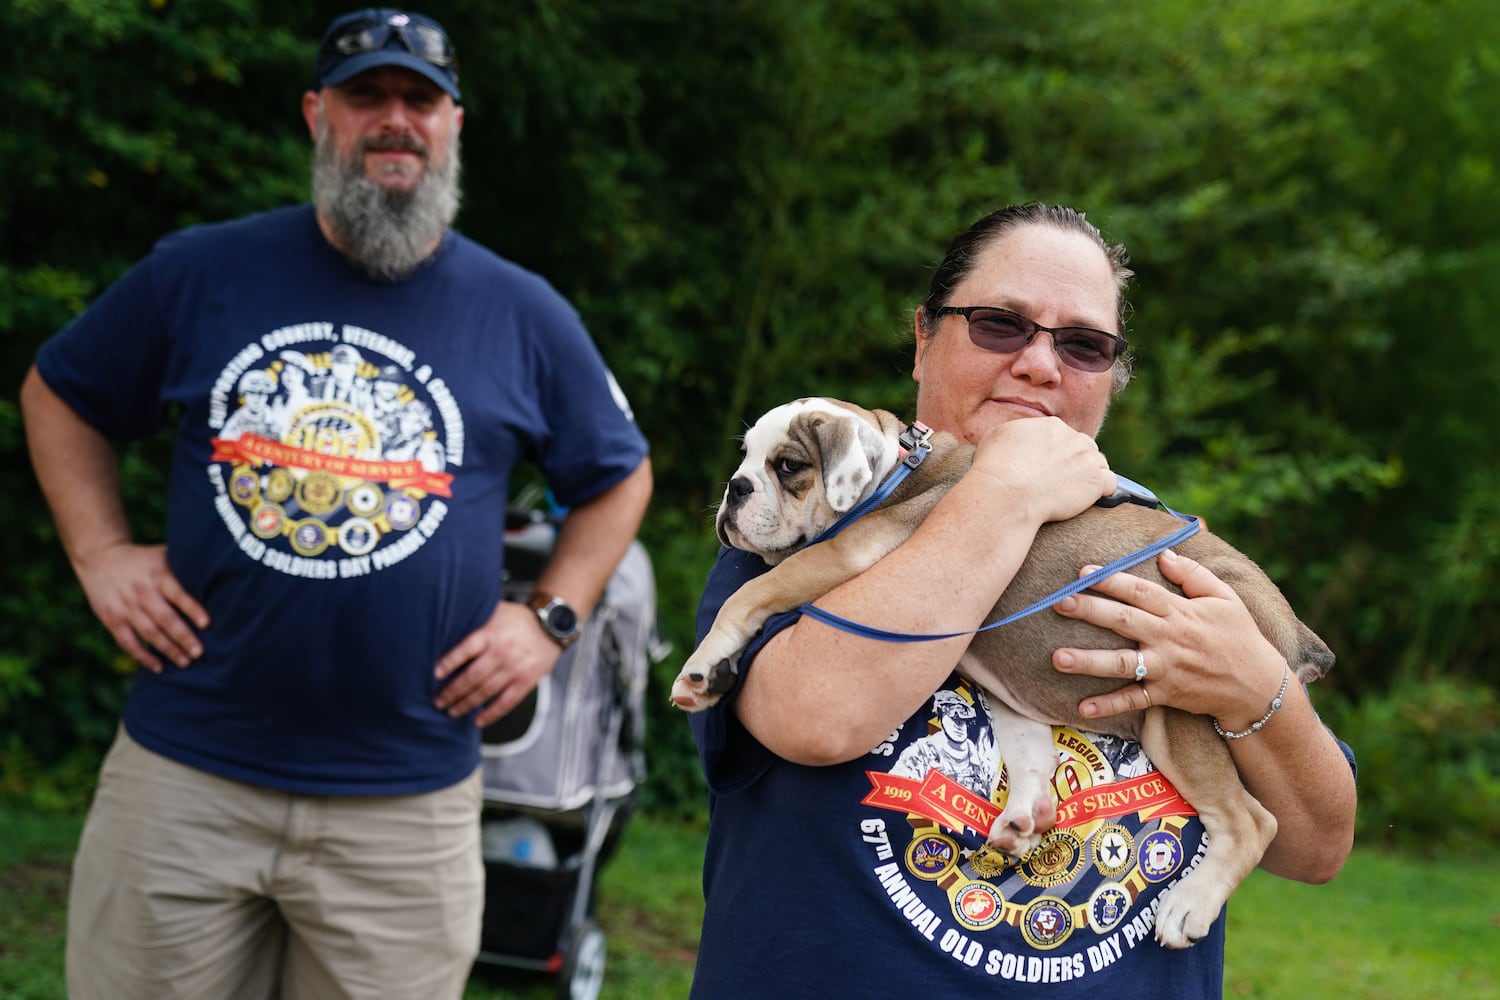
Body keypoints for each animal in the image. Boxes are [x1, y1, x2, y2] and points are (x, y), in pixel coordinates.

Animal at [672, 395, 1338, 953]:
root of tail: (1293, 631)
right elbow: (1030, 754)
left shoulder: (843, 554)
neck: (893, 472)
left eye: (787, 466)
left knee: (1252, 821)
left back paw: (1189, 907)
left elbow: (753, 591)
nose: (734, 487)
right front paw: (1023, 822)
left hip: (1178, 712)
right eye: (744, 457)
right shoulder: (1012, 694)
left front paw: (701, 669)